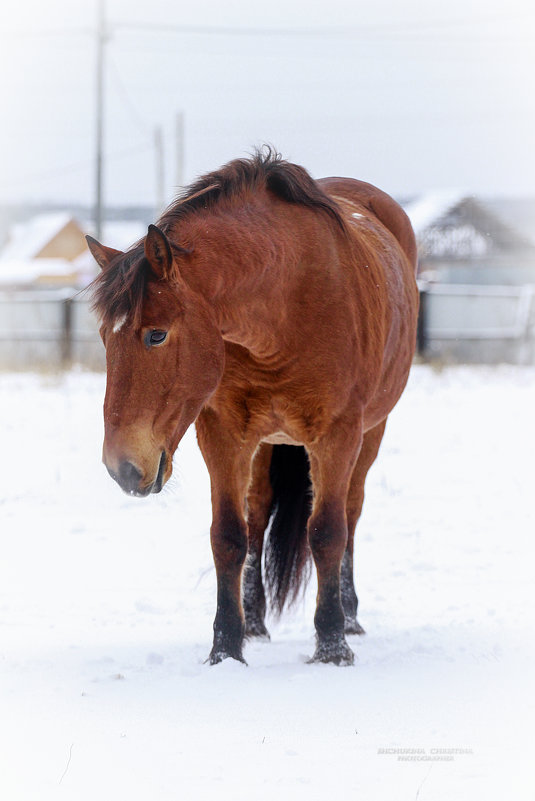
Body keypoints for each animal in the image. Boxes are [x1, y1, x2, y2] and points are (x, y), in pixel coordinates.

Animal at [89, 148, 418, 664]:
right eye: (106, 337)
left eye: (156, 334)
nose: (121, 466)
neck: (286, 305)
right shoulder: (223, 434)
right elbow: (229, 535)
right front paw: (226, 649)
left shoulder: (339, 435)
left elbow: (327, 532)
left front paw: (332, 646)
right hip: (265, 442)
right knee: (258, 515)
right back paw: (256, 622)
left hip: (371, 433)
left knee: (351, 512)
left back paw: (350, 616)